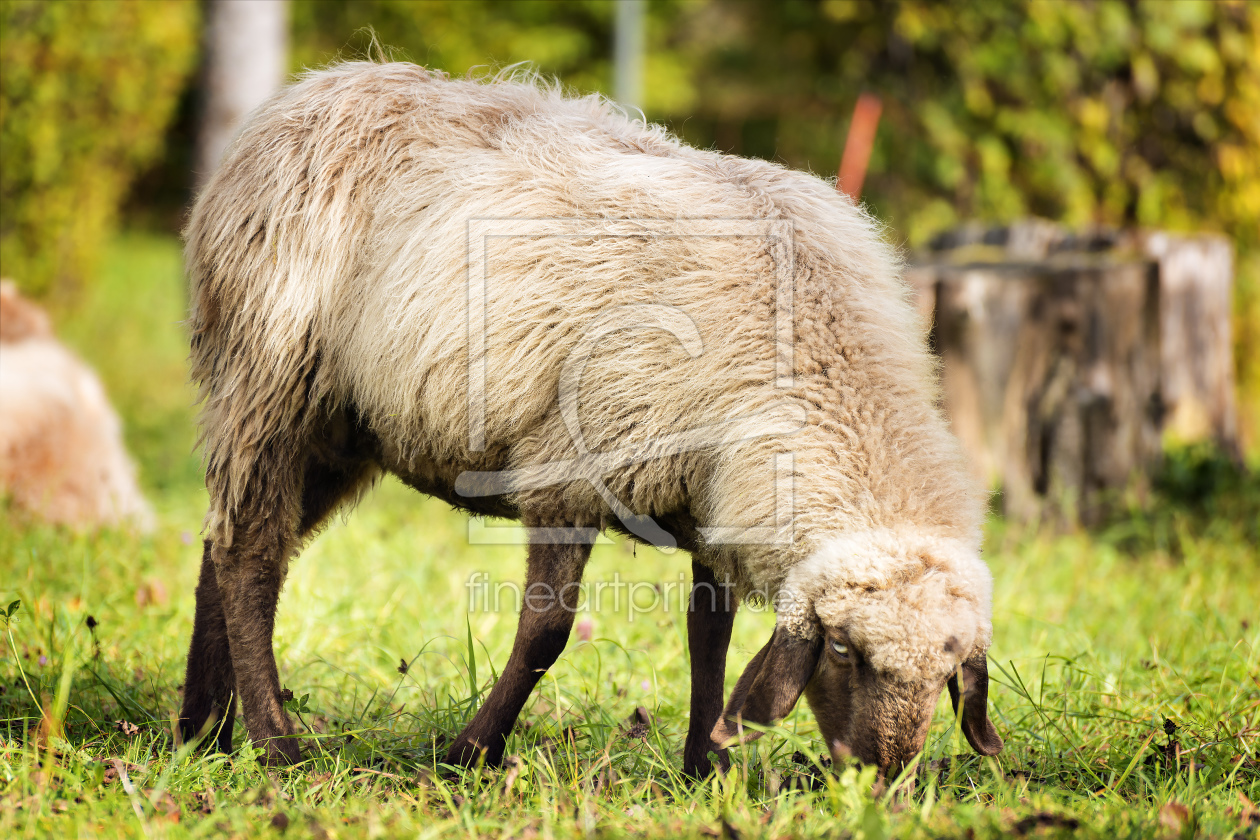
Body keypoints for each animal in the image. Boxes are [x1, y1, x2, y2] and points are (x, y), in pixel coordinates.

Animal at [180, 62, 1002, 780]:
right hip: (271, 379)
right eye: (841, 652)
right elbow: (546, 632)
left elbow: (710, 634)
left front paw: (704, 767)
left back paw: (202, 730)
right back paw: (274, 745)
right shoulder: (571, 474)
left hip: (344, 430)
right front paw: (470, 754)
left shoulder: (714, 491)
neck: (814, 347)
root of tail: (320, 85)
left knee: (223, 543)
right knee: (251, 557)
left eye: (947, 673)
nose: (882, 775)